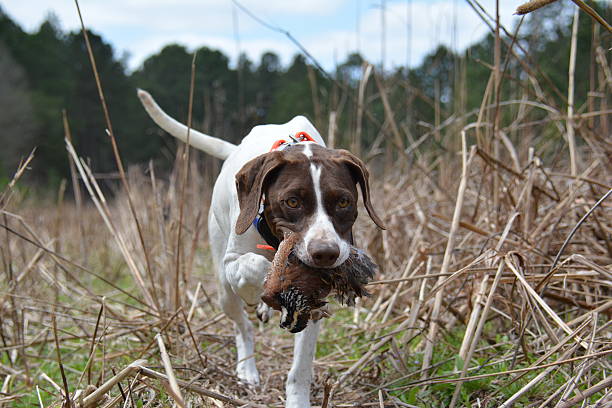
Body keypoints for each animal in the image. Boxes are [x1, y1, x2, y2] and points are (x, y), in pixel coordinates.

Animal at [140, 89, 388, 408]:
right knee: (242, 326)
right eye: (292, 201)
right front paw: (266, 285)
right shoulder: (234, 261)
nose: (325, 254)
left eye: (344, 201)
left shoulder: (314, 306)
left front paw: (297, 400)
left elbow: (301, 366)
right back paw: (247, 366)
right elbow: (255, 266)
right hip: (223, 289)